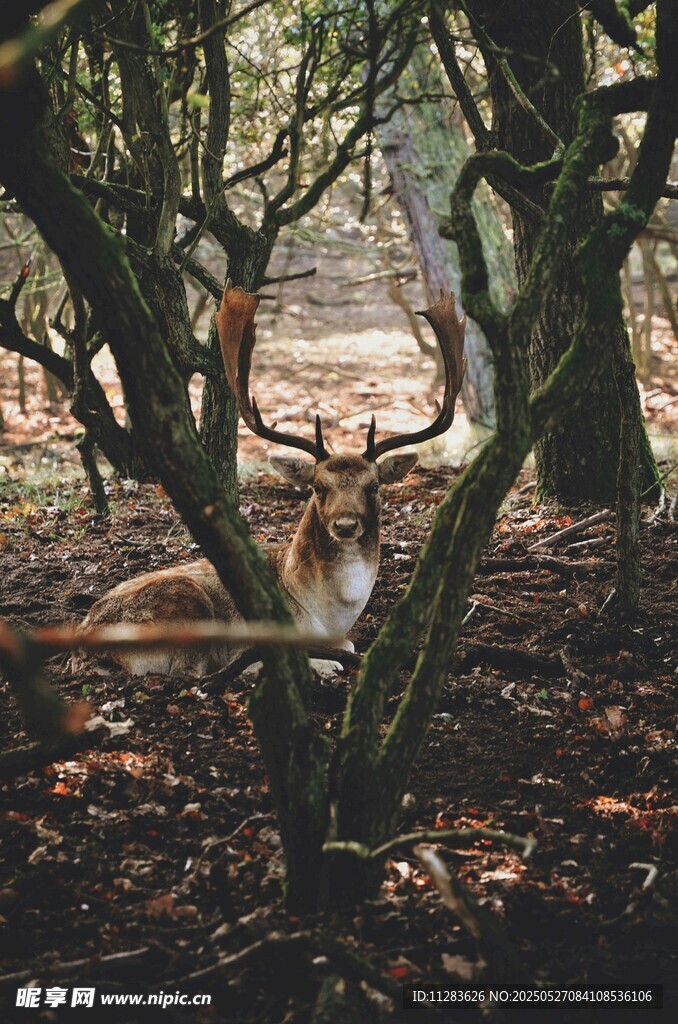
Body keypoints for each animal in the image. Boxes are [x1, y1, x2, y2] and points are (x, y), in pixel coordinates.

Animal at [77, 285, 466, 676]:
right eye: (318, 487)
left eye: (373, 487)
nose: (345, 525)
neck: (327, 617)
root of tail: (85, 646)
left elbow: (350, 644)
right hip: (184, 604)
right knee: (197, 671)